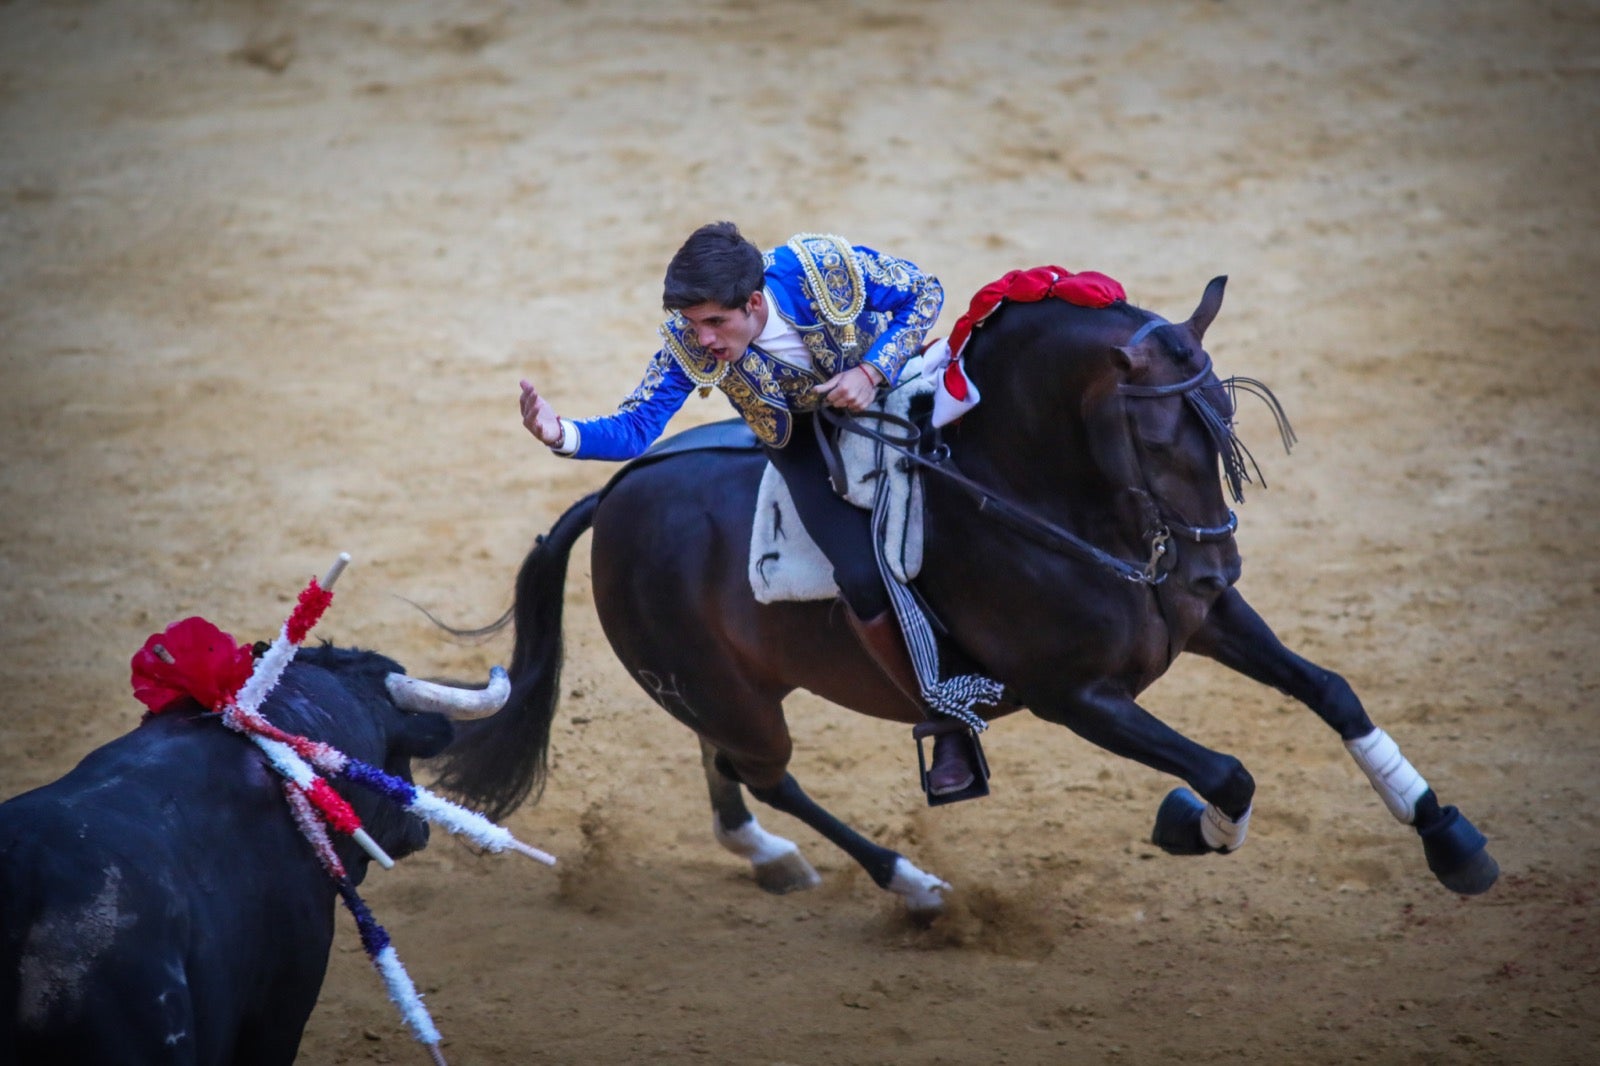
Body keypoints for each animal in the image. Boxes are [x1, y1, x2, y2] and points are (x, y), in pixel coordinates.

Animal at [432, 278, 1491, 915]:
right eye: (1156, 441)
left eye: (1226, 419)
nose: (1210, 568)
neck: (1034, 497)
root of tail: (613, 495)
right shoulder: (1078, 698)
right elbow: (1230, 773)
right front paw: (1185, 824)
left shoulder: (1204, 624)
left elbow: (1331, 690)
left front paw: (1451, 841)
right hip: (728, 693)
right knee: (770, 771)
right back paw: (912, 885)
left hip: (719, 686)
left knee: (724, 760)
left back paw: (767, 855)